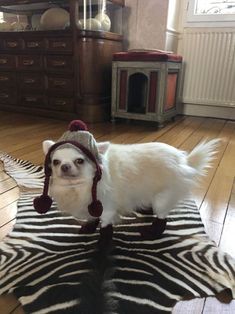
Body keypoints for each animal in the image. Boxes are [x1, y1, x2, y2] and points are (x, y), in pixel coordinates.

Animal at [42, 139, 220, 237]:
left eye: (79, 161)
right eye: (55, 162)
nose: (65, 166)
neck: (77, 187)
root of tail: (184, 161)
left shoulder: (107, 208)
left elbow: (105, 226)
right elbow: (92, 217)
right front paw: (89, 227)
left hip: (162, 197)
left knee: (161, 218)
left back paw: (151, 233)